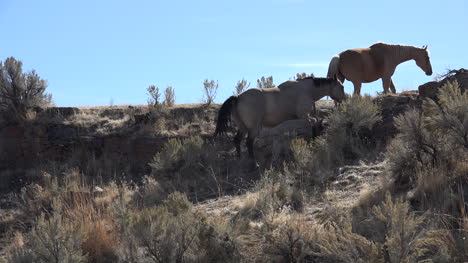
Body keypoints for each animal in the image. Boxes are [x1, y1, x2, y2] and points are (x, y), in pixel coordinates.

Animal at [214, 77, 346, 163]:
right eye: (342, 87)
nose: (344, 100)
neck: (306, 89)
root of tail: (238, 97)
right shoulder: (304, 116)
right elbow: (312, 125)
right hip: (253, 128)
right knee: (248, 143)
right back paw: (254, 164)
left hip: (243, 127)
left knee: (237, 140)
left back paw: (240, 159)